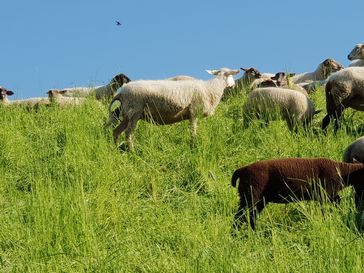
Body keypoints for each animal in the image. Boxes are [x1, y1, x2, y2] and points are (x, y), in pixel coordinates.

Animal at [109, 67, 240, 150]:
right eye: (231, 75)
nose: (234, 85)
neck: (210, 88)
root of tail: (121, 92)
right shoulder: (194, 112)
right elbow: (193, 131)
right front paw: (194, 145)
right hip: (135, 111)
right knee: (128, 133)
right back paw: (132, 151)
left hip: (127, 114)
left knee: (116, 131)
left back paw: (116, 149)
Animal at [232, 157, 364, 230]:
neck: (342, 171)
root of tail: (242, 170)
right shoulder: (326, 195)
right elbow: (326, 211)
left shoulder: (331, 196)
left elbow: (337, 203)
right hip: (251, 196)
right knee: (240, 217)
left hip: (256, 199)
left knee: (249, 217)